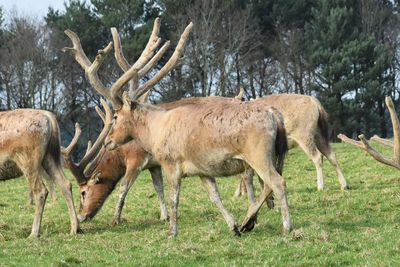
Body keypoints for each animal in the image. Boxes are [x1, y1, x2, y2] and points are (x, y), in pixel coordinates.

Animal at [0, 109, 79, 239]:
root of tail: (49, 117)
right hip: (50, 155)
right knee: (65, 184)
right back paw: (75, 228)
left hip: (28, 159)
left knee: (41, 190)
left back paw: (34, 233)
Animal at [63, 17, 294, 238]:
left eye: (117, 116)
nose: (109, 140)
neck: (155, 133)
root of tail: (275, 115)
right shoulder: (201, 169)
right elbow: (214, 196)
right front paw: (233, 226)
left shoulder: (169, 161)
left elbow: (172, 196)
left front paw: (171, 231)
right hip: (274, 155)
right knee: (268, 183)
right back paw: (248, 221)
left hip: (258, 154)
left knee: (277, 182)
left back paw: (286, 227)